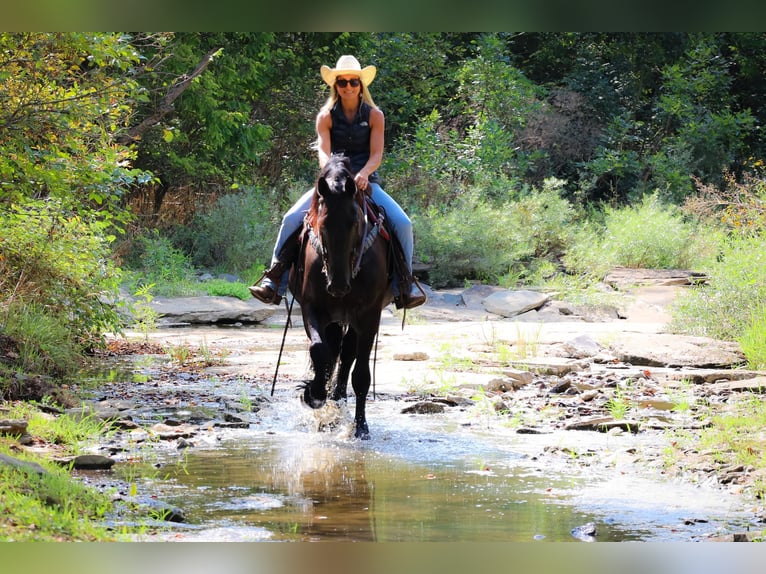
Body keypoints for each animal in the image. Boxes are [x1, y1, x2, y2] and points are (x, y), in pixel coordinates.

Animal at [290, 155, 392, 438]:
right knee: (335, 350)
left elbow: (361, 374)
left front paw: (361, 427)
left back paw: (338, 403)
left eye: (355, 222)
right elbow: (319, 349)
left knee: (347, 355)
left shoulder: (369, 316)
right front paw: (313, 395)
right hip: (336, 317)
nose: (338, 285)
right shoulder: (312, 309)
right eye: (322, 224)